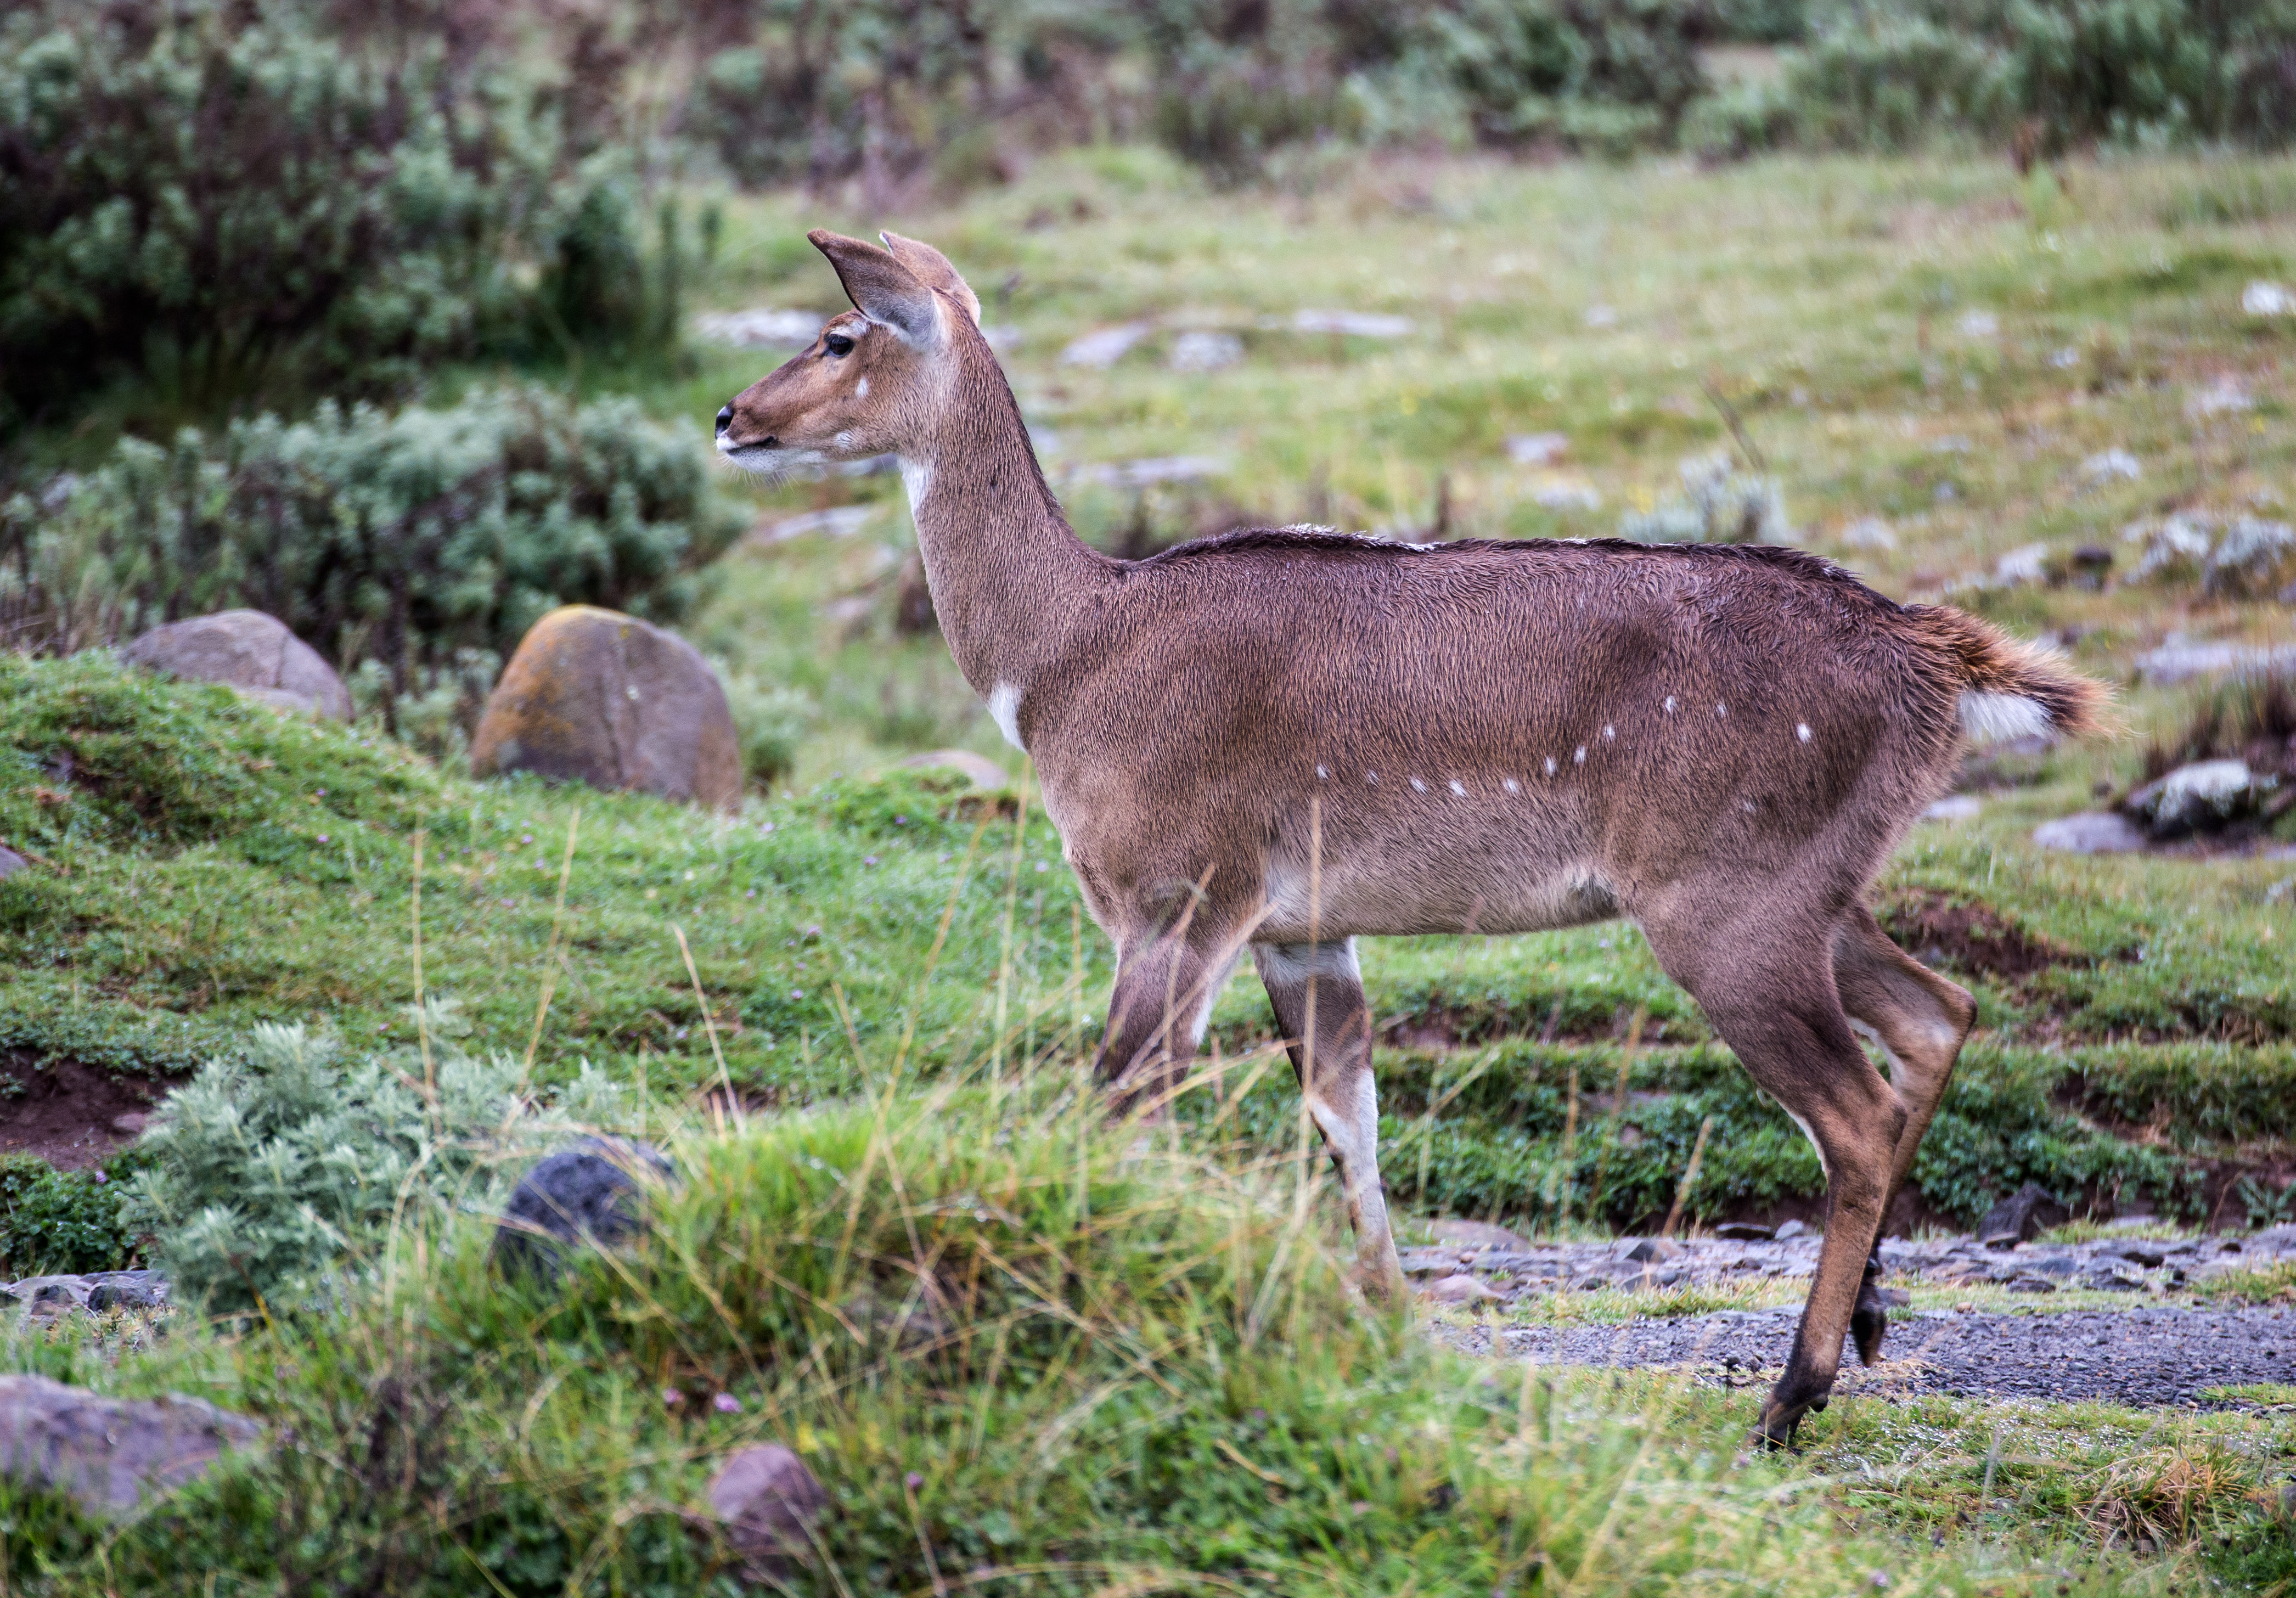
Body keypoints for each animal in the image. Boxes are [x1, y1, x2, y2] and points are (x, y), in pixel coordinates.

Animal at [716, 227, 2103, 1451]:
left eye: (839, 334)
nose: (731, 416)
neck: (1060, 661)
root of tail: (1935, 664)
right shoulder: (1300, 926)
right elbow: (1350, 1117)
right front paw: (1391, 1341)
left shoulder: (1179, 894)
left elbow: (1119, 1098)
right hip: (1816, 891)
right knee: (1938, 1011)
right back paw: (1865, 1326)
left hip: (1728, 905)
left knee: (1855, 1107)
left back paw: (1787, 1398)